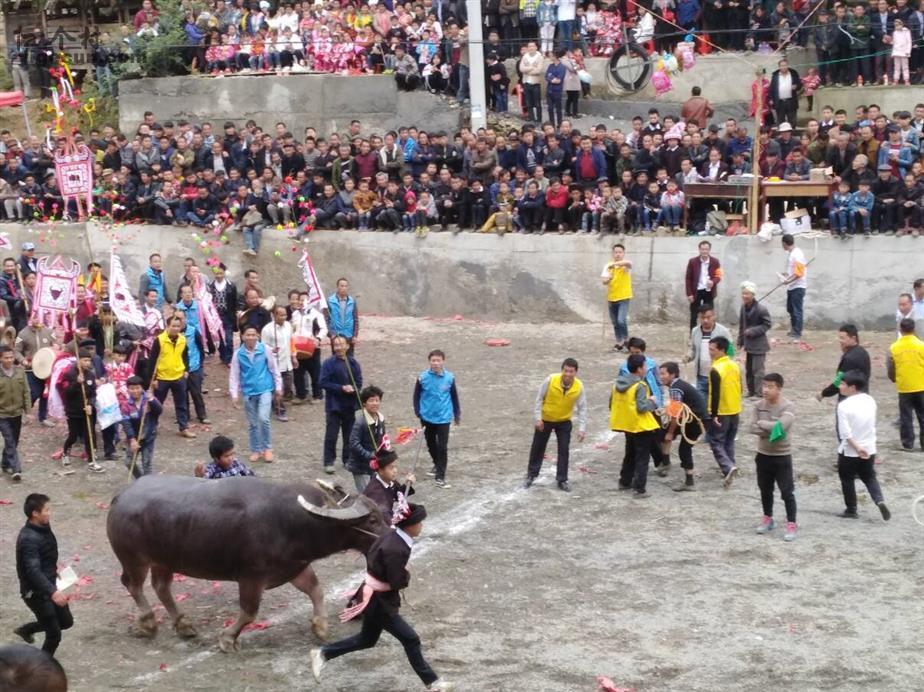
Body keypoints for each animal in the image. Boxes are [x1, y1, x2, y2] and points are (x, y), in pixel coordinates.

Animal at [106, 475, 387, 652]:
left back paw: (184, 625)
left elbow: (317, 590)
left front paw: (320, 627)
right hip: (134, 559)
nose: (389, 538)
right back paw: (148, 622)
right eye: (371, 520)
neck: (292, 522)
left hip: (164, 560)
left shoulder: (295, 568)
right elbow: (250, 612)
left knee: (161, 587)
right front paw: (228, 638)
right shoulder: (251, 577)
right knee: (133, 585)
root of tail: (121, 496)